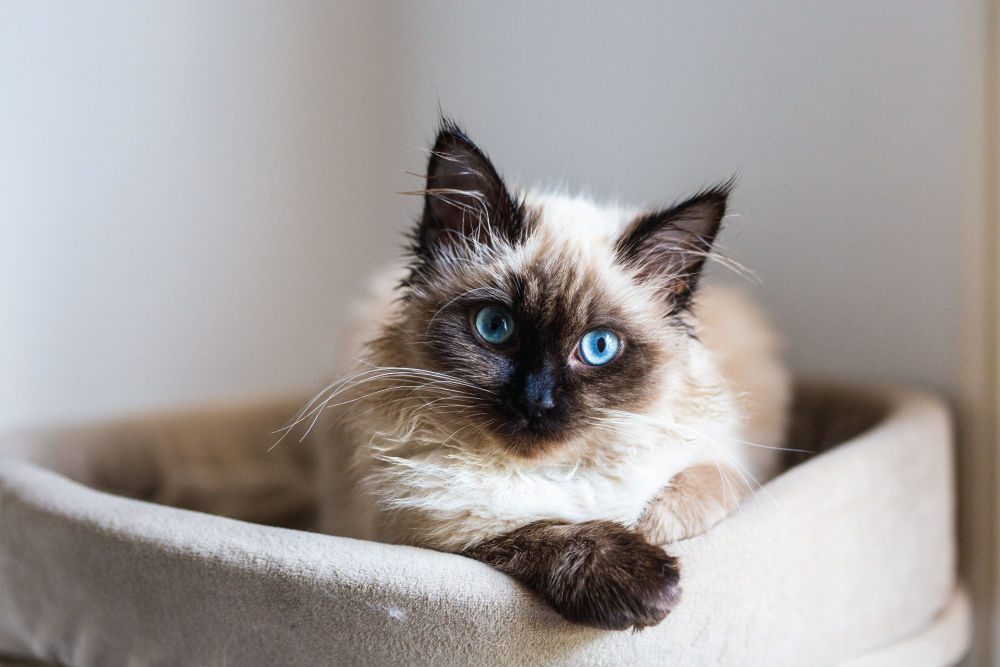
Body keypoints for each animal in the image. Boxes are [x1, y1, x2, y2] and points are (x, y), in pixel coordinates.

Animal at [296, 121, 788, 632]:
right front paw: (643, 583)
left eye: (598, 347)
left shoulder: (726, 463)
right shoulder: (424, 527)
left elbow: (678, 502)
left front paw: (645, 530)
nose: (536, 401)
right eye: (495, 327)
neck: (551, 471)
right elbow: (535, 532)